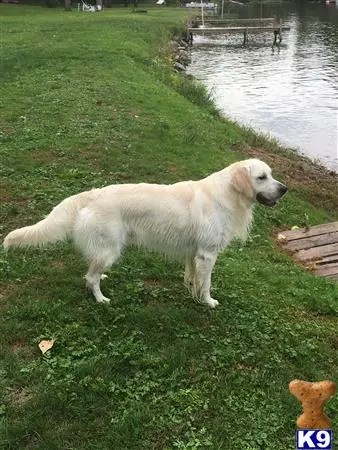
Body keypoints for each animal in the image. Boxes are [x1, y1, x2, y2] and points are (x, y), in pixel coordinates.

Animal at [3, 158, 288, 306]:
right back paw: (101, 299)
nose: (284, 189)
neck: (227, 195)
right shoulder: (207, 254)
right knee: (90, 278)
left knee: (91, 272)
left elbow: (192, 277)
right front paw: (208, 302)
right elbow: (206, 283)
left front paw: (191, 292)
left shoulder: (193, 253)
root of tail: (92, 193)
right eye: (261, 177)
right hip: (110, 248)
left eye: (272, 175)